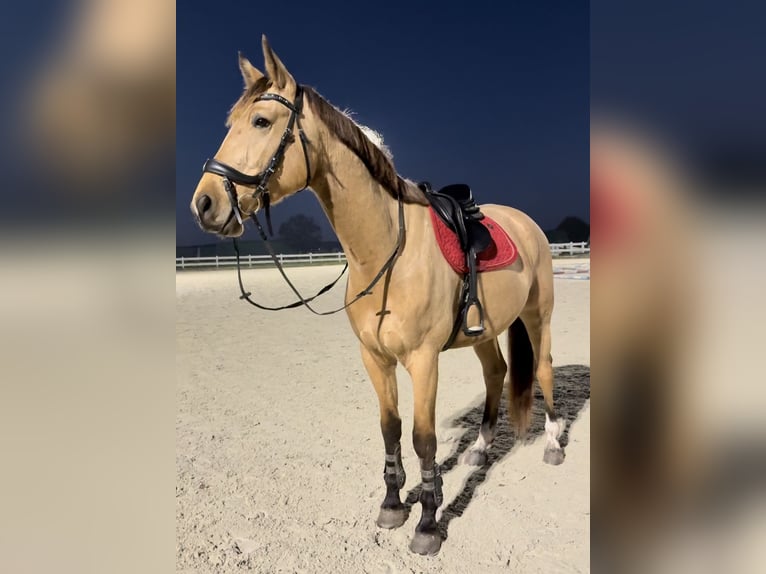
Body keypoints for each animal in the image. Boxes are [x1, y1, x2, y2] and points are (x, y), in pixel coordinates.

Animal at [190, 36, 562, 555]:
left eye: (261, 121)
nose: (205, 203)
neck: (387, 251)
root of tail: (526, 222)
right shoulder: (374, 357)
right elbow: (390, 429)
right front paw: (392, 504)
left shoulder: (423, 360)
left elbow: (424, 439)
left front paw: (427, 524)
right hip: (485, 330)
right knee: (496, 373)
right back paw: (480, 449)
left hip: (537, 315)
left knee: (543, 369)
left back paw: (552, 444)